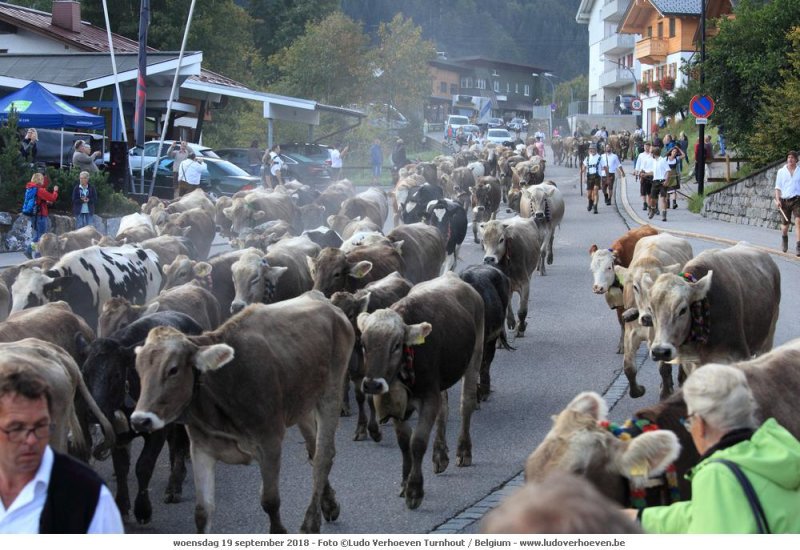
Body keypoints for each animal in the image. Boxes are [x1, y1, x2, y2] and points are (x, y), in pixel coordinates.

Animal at [131, 298, 354, 536]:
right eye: (139, 369)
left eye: (173, 369)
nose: (140, 420)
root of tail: (323, 301)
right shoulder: (201, 448)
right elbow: (202, 512)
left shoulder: (270, 443)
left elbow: (270, 501)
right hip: (301, 404)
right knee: (313, 449)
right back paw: (328, 504)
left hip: (331, 393)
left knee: (323, 456)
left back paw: (311, 523)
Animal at [360, 276, 484, 512]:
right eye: (363, 344)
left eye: (396, 345)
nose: (372, 385)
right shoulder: (400, 406)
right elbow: (403, 443)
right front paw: (404, 482)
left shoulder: (428, 398)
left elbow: (417, 443)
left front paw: (414, 491)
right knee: (444, 410)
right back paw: (440, 455)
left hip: (474, 357)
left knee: (466, 404)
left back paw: (463, 451)